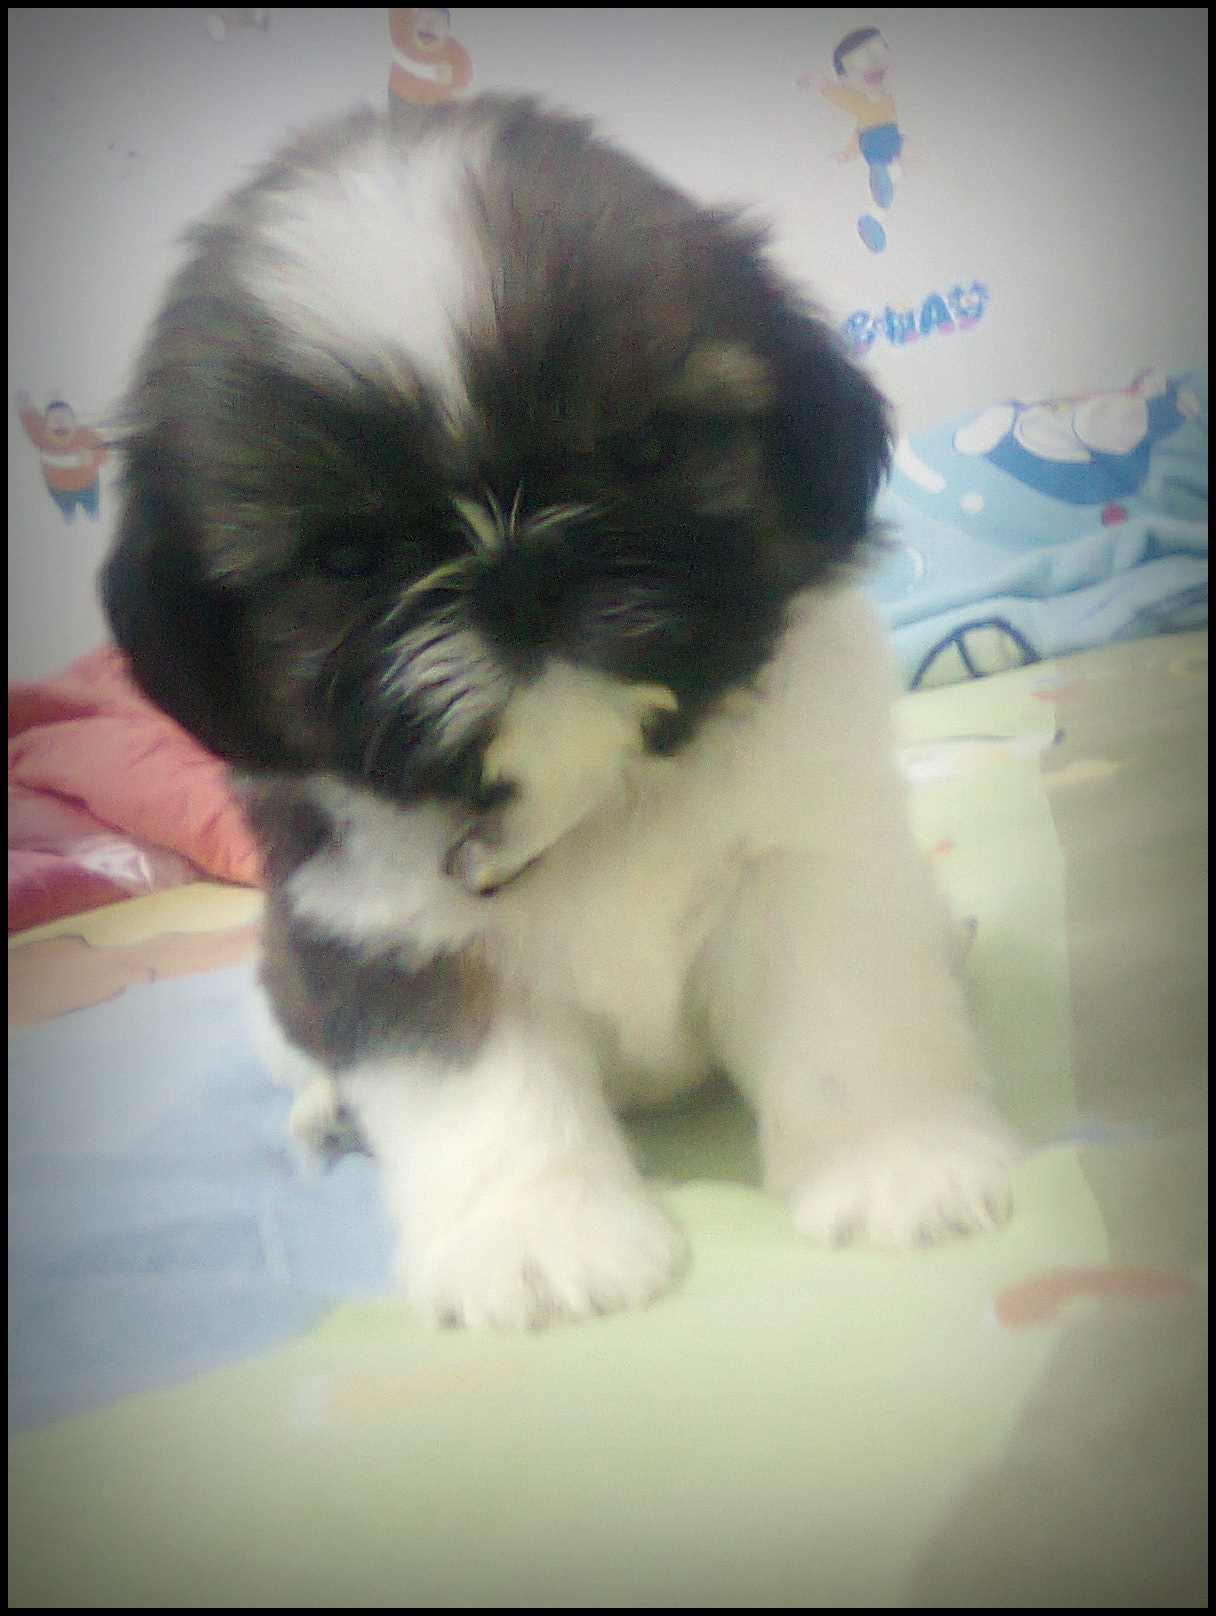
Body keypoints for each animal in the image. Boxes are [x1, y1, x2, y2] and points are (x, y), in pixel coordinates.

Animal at [103, 96, 1019, 1328]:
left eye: (643, 450)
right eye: (345, 553)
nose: (519, 574)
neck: (598, 784)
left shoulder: (802, 863)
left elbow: (845, 1019)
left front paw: (897, 1160)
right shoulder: (389, 939)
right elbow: (482, 1097)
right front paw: (535, 1240)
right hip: (278, 997)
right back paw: (323, 1110)